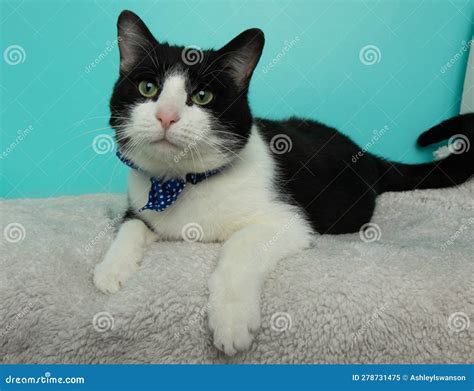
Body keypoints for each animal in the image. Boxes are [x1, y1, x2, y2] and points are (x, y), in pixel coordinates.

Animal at [93, 10, 474, 356]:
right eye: (148, 88)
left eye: (202, 97)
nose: (166, 115)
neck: (182, 182)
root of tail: (365, 154)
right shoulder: (140, 201)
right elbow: (131, 225)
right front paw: (110, 269)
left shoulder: (287, 221)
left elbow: (239, 247)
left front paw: (231, 321)